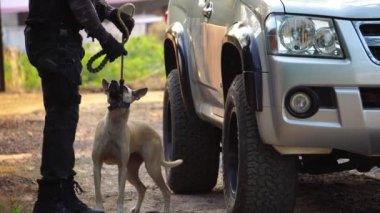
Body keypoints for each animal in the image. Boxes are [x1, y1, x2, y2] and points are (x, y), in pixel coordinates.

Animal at [91, 80, 182, 213]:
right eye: (111, 84)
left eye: (123, 87)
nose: (113, 81)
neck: (113, 125)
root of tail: (155, 133)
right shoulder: (97, 165)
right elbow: (98, 191)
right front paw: (98, 208)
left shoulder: (122, 168)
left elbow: (121, 194)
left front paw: (119, 209)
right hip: (131, 171)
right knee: (142, 188)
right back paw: (137, 208)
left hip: (151, 167)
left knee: (166, 191)